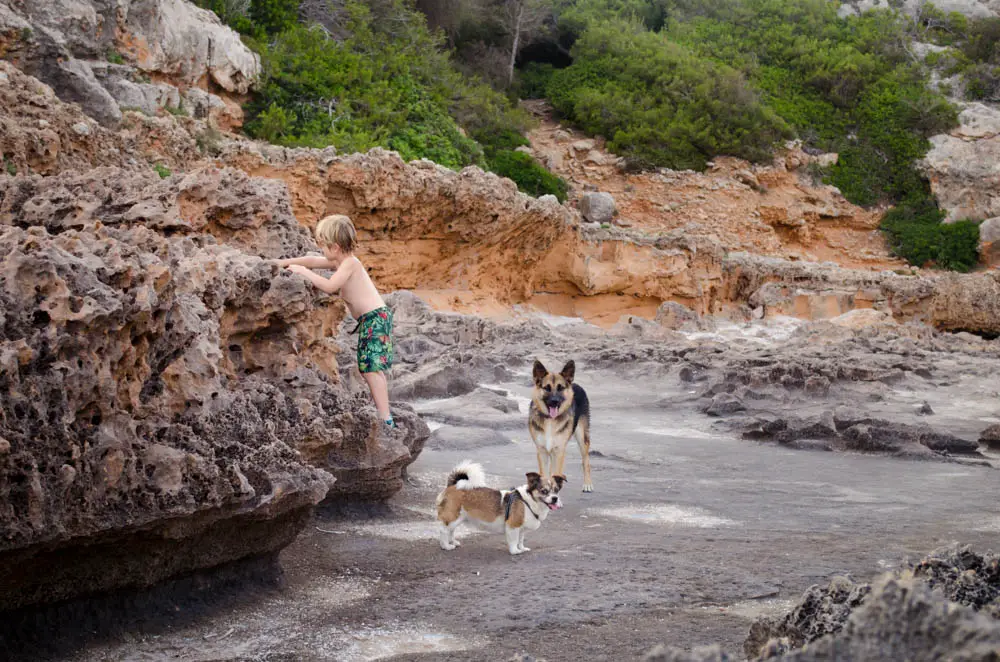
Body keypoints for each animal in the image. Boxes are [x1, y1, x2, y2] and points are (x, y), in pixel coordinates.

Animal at [436, 462, 568, 556]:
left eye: (556, 490)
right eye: (544, 491)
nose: (555, 498)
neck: (528, 502)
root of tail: (453, 485)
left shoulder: (521, 529)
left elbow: (521, 540)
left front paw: (522, 548)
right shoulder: (513, 526)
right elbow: (514, 541)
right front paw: (515, 551)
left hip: (458, 518)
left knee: (451, 530)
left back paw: (452, 542)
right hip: (453, 516)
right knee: (444, 530)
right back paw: (446, 546)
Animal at [528, 364, 588, 492]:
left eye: (560, 388)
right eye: (547, 388)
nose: (554, 401)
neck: (550, 420)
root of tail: (574, 384)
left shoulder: (559, 450)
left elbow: (555, 473)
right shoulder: (542, 451)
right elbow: (545, 474)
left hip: (582, 437)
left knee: (586, 460)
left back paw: (587, 484)